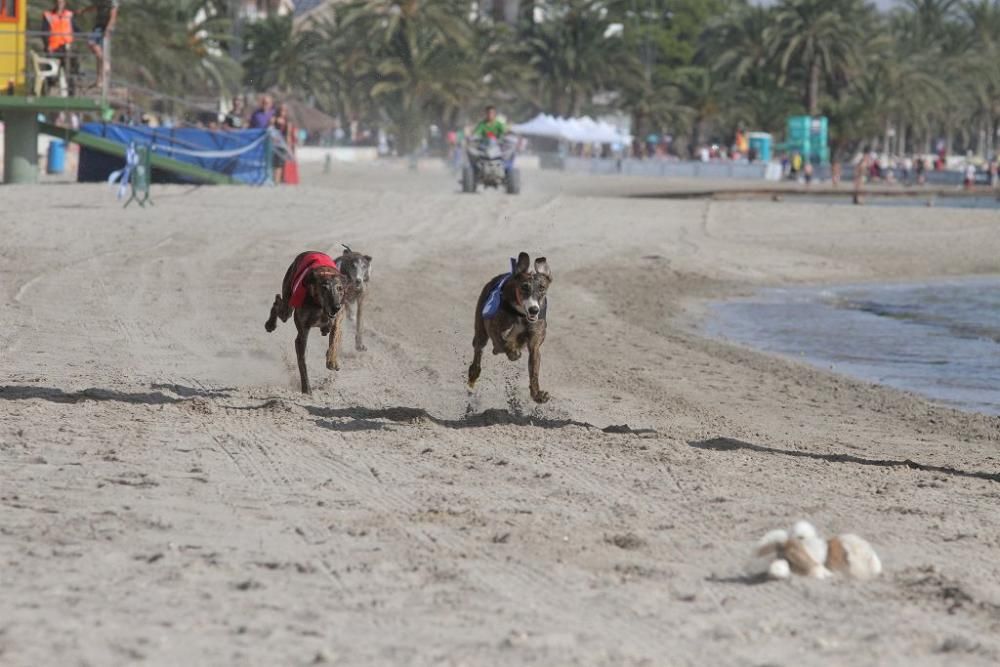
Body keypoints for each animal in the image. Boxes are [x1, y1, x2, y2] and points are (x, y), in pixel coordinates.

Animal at [266, 252, 348, 396]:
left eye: (340, 288)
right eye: (324, 288)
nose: (336, 307)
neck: (320, 306)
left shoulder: (337, 320)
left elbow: (334, 340)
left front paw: (332, 361)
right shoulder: (303, 332)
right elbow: (302, 361)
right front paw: (306, 389)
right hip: (287, 305)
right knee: (278, 302)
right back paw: (270, 324)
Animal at [470, 253, 556, 404]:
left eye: (542, 287)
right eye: (524, 287)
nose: (534, 310)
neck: (521, 314)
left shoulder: (535, 342)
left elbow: (534, 369)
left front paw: (537, 395)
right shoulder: (493, 325)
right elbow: (502, 342)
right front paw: (512, 352)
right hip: (480, 328)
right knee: (479, 348)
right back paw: (474, 372)